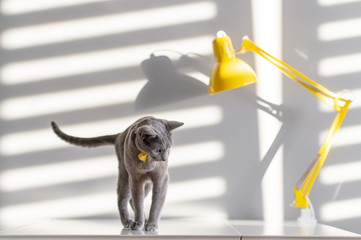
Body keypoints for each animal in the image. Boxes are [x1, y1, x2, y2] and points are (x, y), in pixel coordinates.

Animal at [51, 116, 183, 231]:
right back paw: (128, 221)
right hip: (125, 175)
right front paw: (139, 223)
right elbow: (138, 202)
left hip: (147, 182)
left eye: (169, 147)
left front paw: (151, 225)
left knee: (131, 199)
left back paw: (143, 221)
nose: (165, 159)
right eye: (158, 150)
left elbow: (156, 204)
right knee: (124, 199)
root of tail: (119, 134)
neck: (146, 159)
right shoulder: (135, 178)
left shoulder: (161, 178)